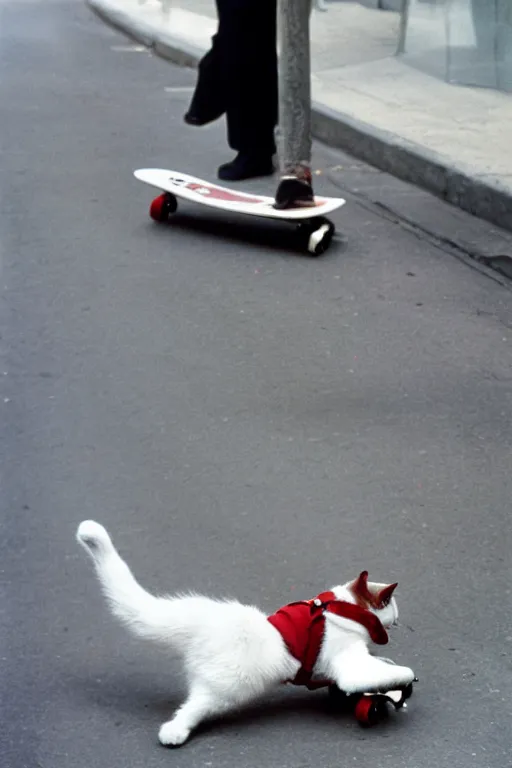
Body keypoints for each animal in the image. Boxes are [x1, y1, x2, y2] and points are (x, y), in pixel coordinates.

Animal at [77, 520, 416, 748]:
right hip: (227, 687)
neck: (344, 608)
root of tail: (205, 618)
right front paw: (401, 683)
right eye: (393, 611)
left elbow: (376, 667)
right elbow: (386, 674)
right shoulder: (351, 667)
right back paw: (173, 734)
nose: (399, 623)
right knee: (192, 708)